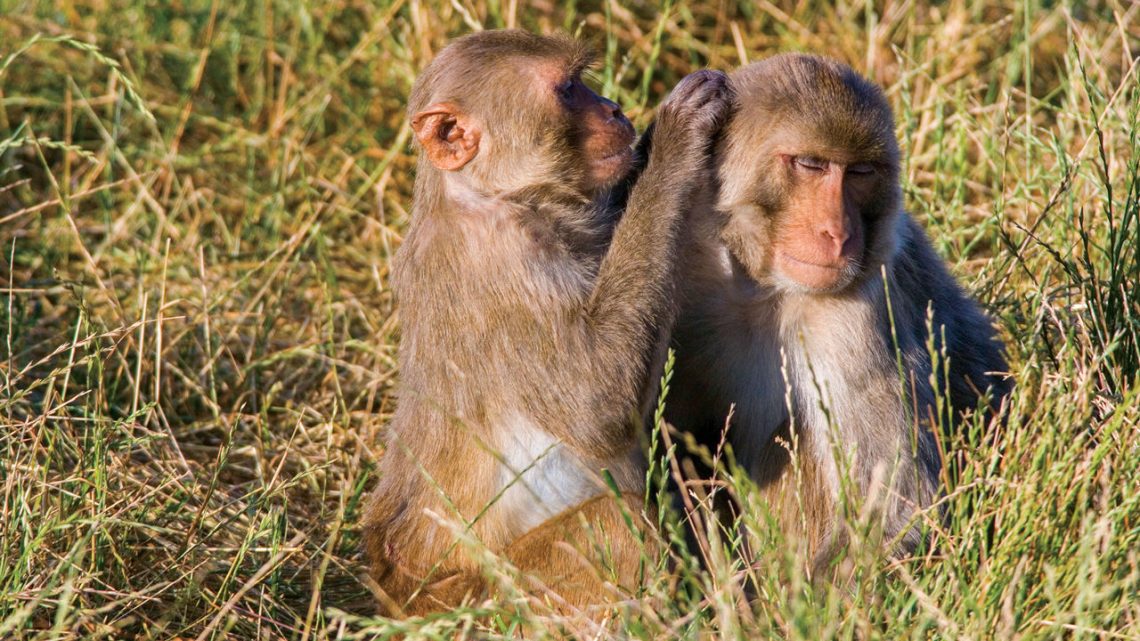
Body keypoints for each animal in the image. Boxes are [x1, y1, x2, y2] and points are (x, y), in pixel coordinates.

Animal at [360, 30, 731, 617]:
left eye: (584, 83)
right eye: (568, 90)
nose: (614, 108)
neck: (491, 196)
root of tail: (398, 593)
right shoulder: (505, 268)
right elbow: (597, 408)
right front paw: (676, 142)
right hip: (489, 602)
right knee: (614, 523)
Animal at [663, 54, 1010, 576]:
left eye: (861, 172)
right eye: (811, 165)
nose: (839, 232)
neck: (764, 288)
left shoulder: (853, 319)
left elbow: (895, 513)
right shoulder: (689, 285)